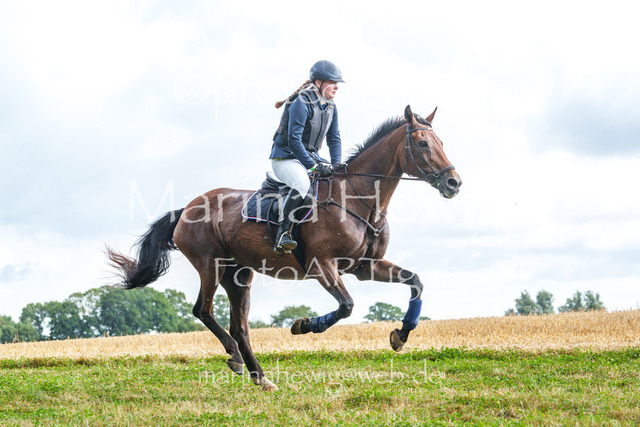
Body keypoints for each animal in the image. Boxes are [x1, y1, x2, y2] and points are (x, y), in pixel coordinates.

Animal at [107, 105, 461, 391]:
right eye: (422, 143)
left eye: (442, 143)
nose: (454, 183)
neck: (359, 199)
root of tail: (185, 209)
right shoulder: (323, 265)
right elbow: (346, 306)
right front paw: (305, 325)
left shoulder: (365, 266)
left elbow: (415, 282)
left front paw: (401, 334)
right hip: (211, 264)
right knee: (203, 311)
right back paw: (236, 358)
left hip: (239, 274)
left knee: (240, 326)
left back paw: (259, 376)